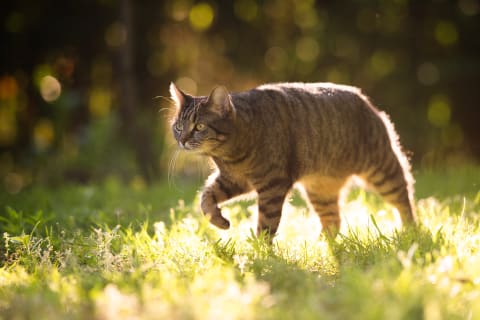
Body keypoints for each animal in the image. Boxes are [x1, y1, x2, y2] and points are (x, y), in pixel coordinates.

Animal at [169, 82, 416, 240]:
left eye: (199, 126)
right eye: (178, 126)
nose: (182, 140)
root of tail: (365, 99)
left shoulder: (272, 184)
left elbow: (266, 223)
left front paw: (260, 253)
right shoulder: (233, 180)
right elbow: (205, 198)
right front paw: (219, 220)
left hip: (382, 170)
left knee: (405, 198)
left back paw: (411, 231)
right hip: (320, 191)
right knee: (333, 221)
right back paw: (320, 247)